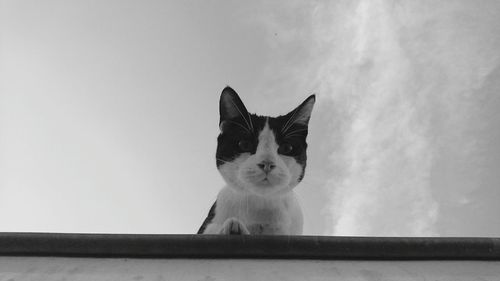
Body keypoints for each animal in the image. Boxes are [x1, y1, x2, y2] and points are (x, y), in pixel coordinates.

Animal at [197, 86, 314, 234]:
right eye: (244, 144)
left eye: (287, 148)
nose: (267, 163)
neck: (260, 207)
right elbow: (213, 228)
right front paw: (232, 226)